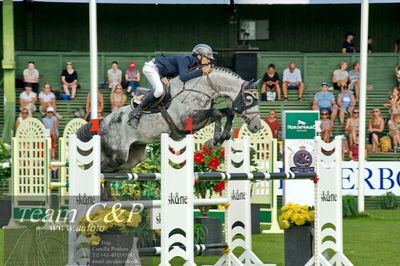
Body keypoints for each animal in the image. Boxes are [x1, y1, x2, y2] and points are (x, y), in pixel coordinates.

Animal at [77, 65, 262, 171]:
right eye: (249, 99)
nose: (257, 127)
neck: (202, 88)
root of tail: (102, 122)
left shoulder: (199, 119)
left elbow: (226, 112)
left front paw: (221, 138)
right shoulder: (187, 119)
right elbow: (217, 112)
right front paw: (214, 140)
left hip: (132, 158)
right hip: (118, 155)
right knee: (100, 167)